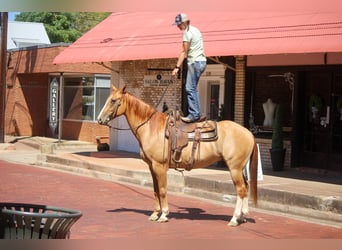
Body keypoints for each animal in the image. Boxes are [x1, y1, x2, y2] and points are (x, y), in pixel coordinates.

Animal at [97, 84, 258, 227]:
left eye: (113, 101)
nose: (99, 119)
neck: (151, 127)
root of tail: (248, 133)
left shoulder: (160, 166)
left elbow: (162, 190)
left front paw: (164, 215)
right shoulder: (151, 167)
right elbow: (155, 190)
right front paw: (155, 213)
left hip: (234, 168)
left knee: (241, 190)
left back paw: (234, 218)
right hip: (240, 169)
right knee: (245, 188)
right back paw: (242, 217)